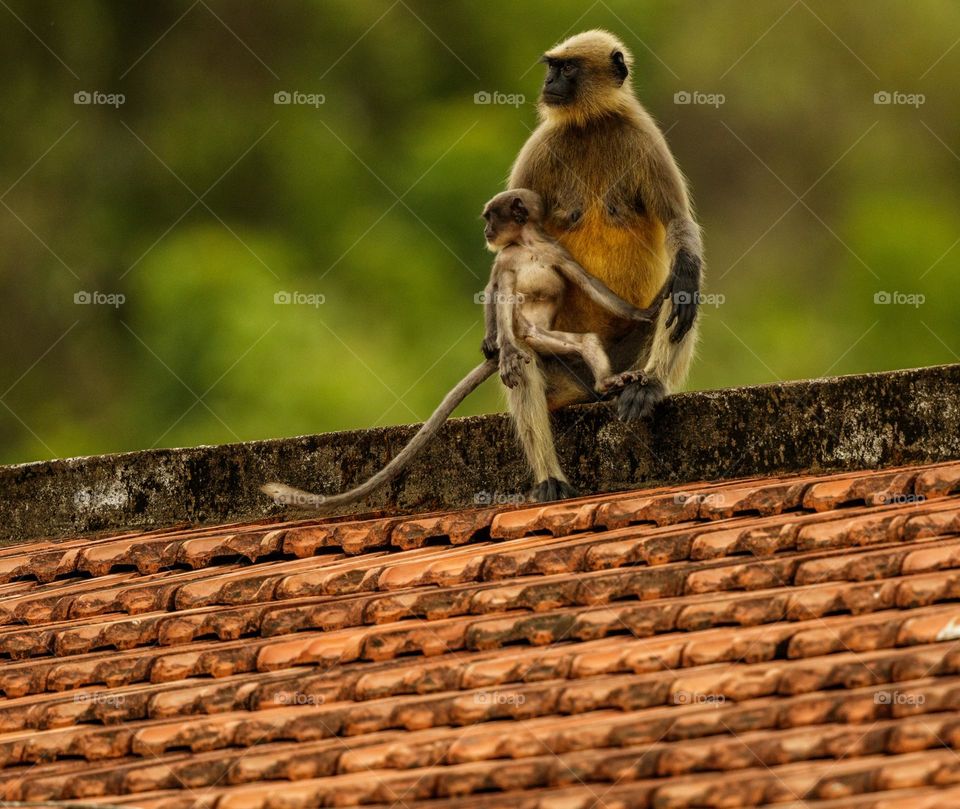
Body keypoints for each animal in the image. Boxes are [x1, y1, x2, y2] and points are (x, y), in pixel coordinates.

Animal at [261, 188, 656, 511]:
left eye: (490, 217)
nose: (486, 232)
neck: (527, 246)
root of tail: (530, 336)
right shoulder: (506, 260)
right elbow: (498, 289)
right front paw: (494, 343)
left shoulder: (555, 252)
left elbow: (587, 283)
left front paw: (646, 312)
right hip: (527, 338)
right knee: (522, 357)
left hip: (543, 335)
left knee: (582, 340)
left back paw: (605, 382)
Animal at [505, 29, 704, 502]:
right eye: (552, 67)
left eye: (567, 68)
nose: (550, 83)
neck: (590, 124)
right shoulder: (541, 146)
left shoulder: (645, 137)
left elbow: (678, 225)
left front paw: (687, 275)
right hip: (563, 370)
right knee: (524, 351)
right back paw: (550, 478)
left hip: (624, 355)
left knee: (679, 296)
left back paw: (647, 388)